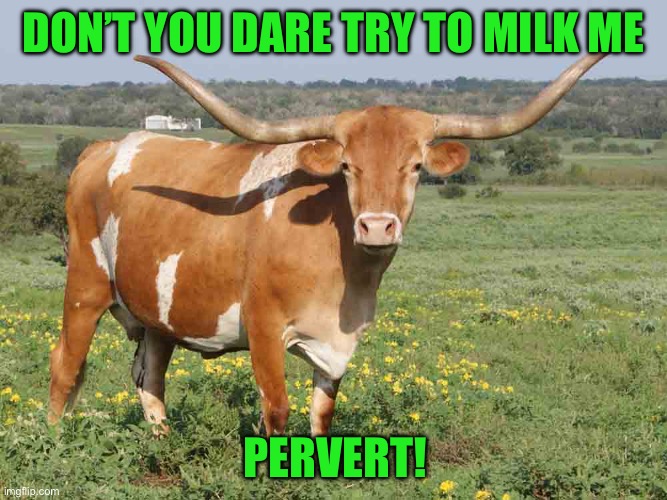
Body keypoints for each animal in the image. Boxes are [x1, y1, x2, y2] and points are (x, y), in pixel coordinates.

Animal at [49, 54, 607, 436]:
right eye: (347, 167)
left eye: (415, 166)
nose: (377, 227)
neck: (341, 269)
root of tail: (104, 147)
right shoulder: (264, 329)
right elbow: (276, 409)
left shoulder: (338, 345)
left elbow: (322, 415)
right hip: (84, 287)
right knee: (65, 367)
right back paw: (54, 441)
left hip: (157, 314)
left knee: (150, 380)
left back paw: (163, 443)